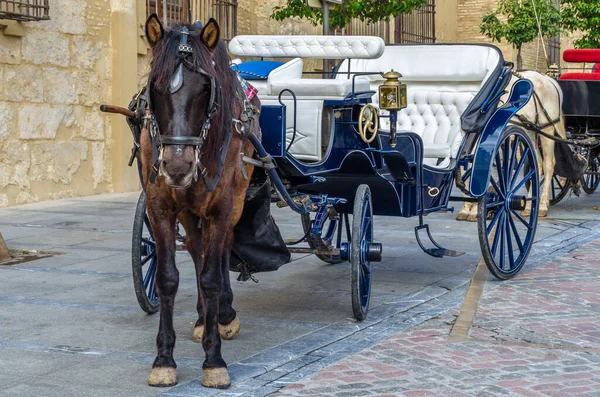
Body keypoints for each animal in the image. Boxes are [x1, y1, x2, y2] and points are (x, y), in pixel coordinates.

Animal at [142, 14, 260, 386]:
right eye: (155, 86)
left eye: (205, 89)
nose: (178, 166)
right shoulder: (159, 207)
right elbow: (167, 278)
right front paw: (163, 359)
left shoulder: (221, 207)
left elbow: (211, 277)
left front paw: (214, 360)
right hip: (189, 211)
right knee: (198, 249)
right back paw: (202, 317)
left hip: (235, 200)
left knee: (220, 250)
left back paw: (223, 314)